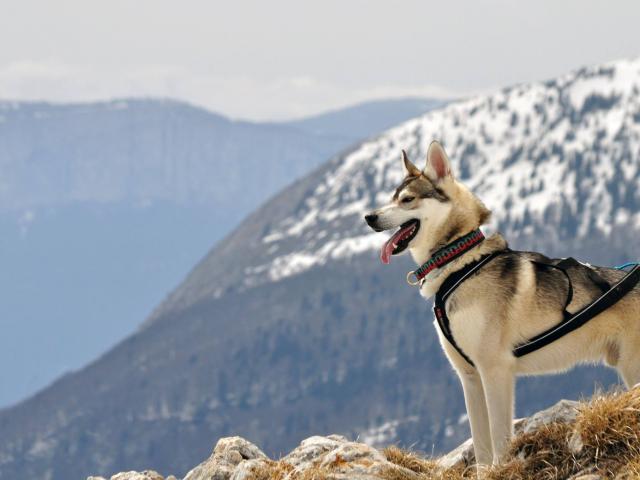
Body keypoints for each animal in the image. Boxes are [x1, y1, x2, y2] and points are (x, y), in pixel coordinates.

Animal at [364, 140, 640, 468]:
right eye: (391, 197)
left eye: (407, 200)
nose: (369, 217)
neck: (459, 263)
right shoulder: (469, 377)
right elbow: (481, 445)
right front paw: (487, 471)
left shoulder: (495, 370)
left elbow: (498, 437)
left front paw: (503, 467)